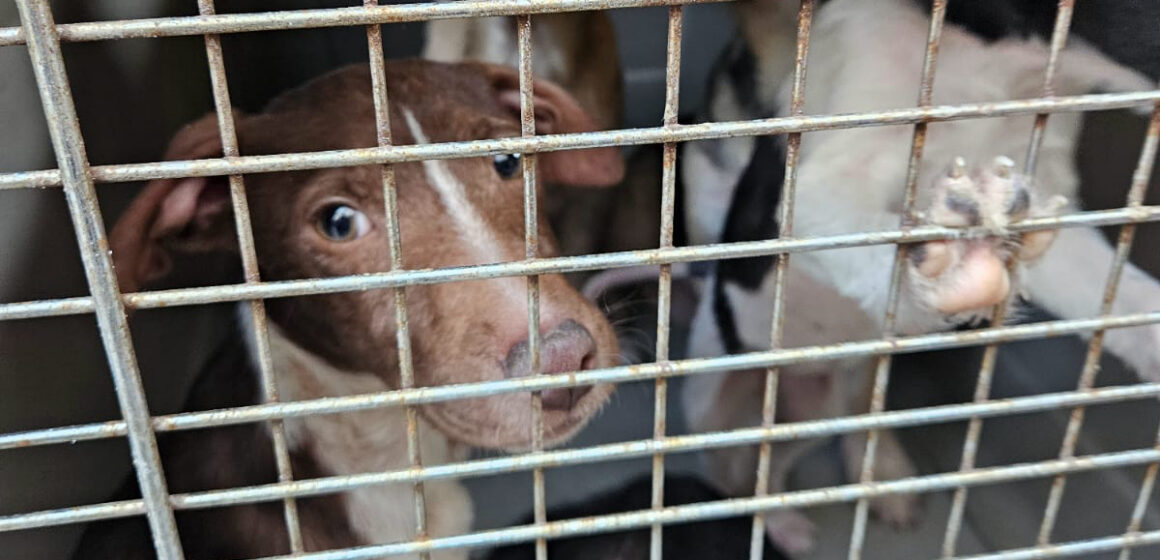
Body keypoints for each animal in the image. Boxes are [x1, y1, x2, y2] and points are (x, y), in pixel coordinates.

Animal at [589, 0, 1160, 554]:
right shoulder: (816, 193)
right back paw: (775, 521)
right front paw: (958, 268)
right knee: (729, 472)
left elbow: (1113, 288)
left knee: (781, 460)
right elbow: (881, 238)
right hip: (717, 400)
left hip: (827, 406)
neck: (988, 59)